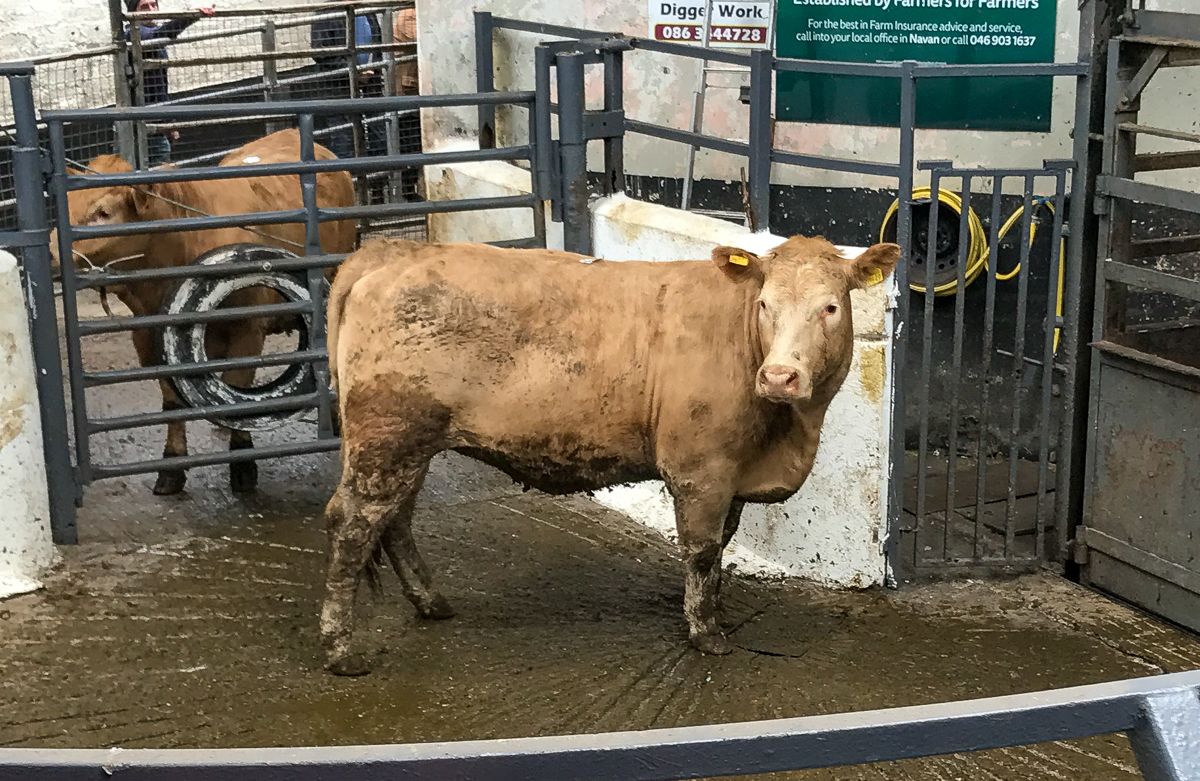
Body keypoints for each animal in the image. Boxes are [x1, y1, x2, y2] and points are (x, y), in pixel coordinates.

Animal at [49, 129, 356, 496]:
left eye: (104, 212)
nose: (50, 254)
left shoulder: (247, 330)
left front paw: (242, 463)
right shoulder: (148, 336)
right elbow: (171, 402)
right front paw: (171, 466)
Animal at [319, 235, 899, 676]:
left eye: (830, 307)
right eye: (764, 305)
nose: (780, 377)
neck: (786, 434)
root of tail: (393, 250)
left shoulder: (731, 475)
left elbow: (720, 547)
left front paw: (711, 608)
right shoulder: (701, 470)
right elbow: (702, 550)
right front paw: (706, 633)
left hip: (406, 447)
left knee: (396, 521)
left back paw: (432, 603)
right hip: (389, 438)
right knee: (353, 525)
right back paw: (341, 649)